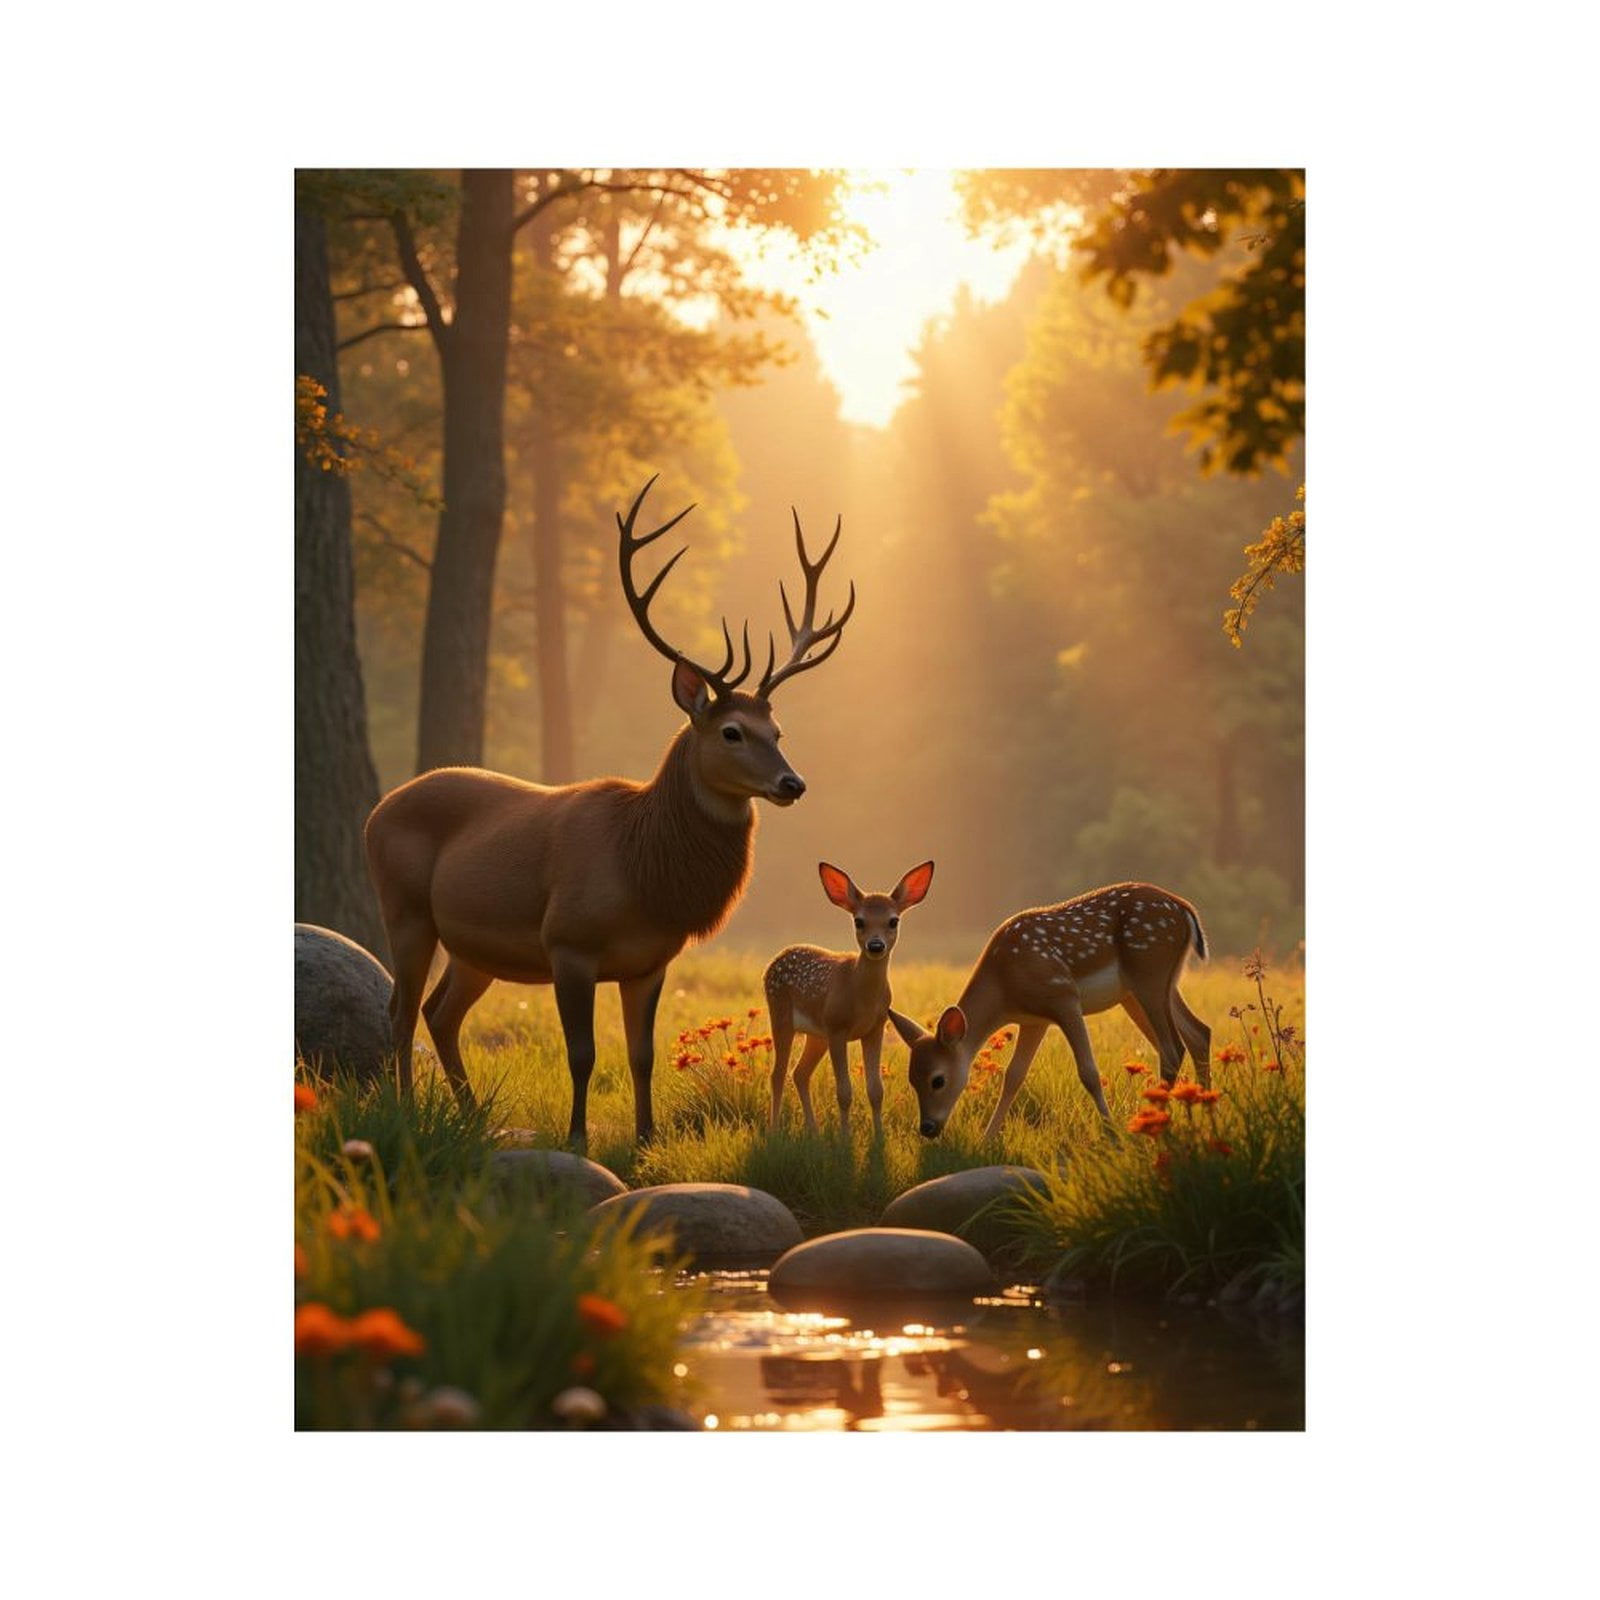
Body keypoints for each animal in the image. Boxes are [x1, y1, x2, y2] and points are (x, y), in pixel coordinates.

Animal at [363, 476, 855, 1146]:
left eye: (778, 730)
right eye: (731, 731)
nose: (793, 782)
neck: (642, 870)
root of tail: (377, 811)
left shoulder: (649, 962)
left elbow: (641, 1055)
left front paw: (646, 1137)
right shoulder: (568, 941)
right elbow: (583, 1053)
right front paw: (577, 1138)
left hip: (472, 947)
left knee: (440, 1014)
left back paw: (470, 1116)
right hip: (406, 908)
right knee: (401, 1010)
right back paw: (411, 1113)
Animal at [764, 860, 935, 1137]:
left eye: (893, 921)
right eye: (859, 921)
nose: (875, 945)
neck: (861, 996)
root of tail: (777, 957)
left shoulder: (875, 1027)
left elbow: (876, 1090)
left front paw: (879, 1137)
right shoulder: (837, 1027)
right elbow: (844, 1092)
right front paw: (845, 1137)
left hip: (816, 1034)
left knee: (800, 1073)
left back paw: (814, 1130)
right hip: (780, 1014)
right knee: (778, 1074)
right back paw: (774, 1130)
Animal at [886, 881, 1211, 1140]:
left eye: (937, 1079)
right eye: (911, 1079)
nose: (927, 1128)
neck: (1005, 988)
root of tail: (1186, 910)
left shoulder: (1063, 996)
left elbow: (1089, 1072)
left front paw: (1111, 1133)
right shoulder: (1034, 1021)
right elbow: (1013, 1077)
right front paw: (987, 1139)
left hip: (1149, 971)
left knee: (1172, 1048)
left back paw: (1150, 1125)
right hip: (1150, 986)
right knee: (1199, 1033)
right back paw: (1205, 1114)